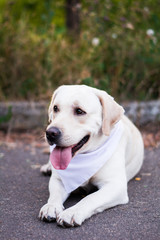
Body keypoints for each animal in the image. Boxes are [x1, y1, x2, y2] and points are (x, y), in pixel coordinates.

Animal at [39, 85, 144, 228]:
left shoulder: (115, 185)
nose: (50, 133)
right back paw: (47, 167)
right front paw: (51, 206)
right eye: (55, 108)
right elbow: (54, 195)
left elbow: (91, 198)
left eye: (79, 111)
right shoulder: (58, 179)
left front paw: (72, 212)